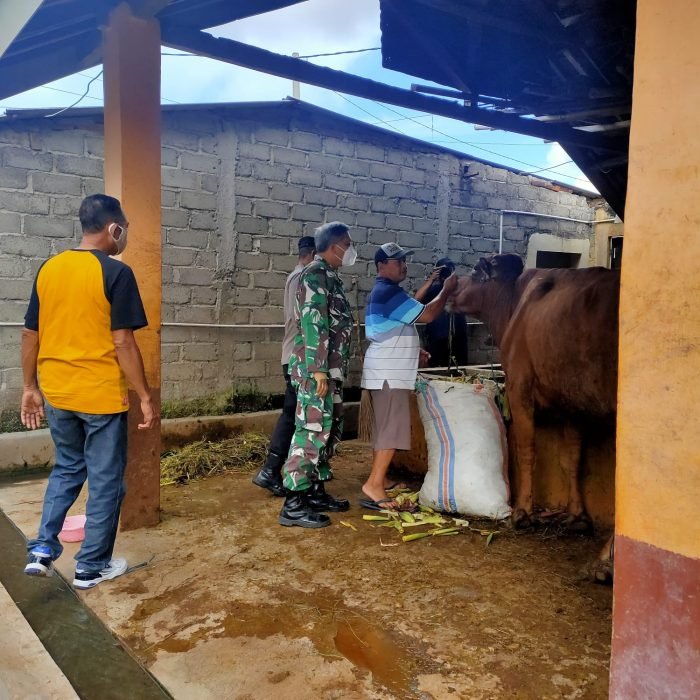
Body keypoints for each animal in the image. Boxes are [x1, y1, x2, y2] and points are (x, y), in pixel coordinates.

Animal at [454, 254, 616, 584]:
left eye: (475, 272)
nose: (452, 284)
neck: (513, 307)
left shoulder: (519, 387)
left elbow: (527, 450)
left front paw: (523, 513)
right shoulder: (572, 402)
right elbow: (572, 459)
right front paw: (577, 516)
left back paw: (605, 561)